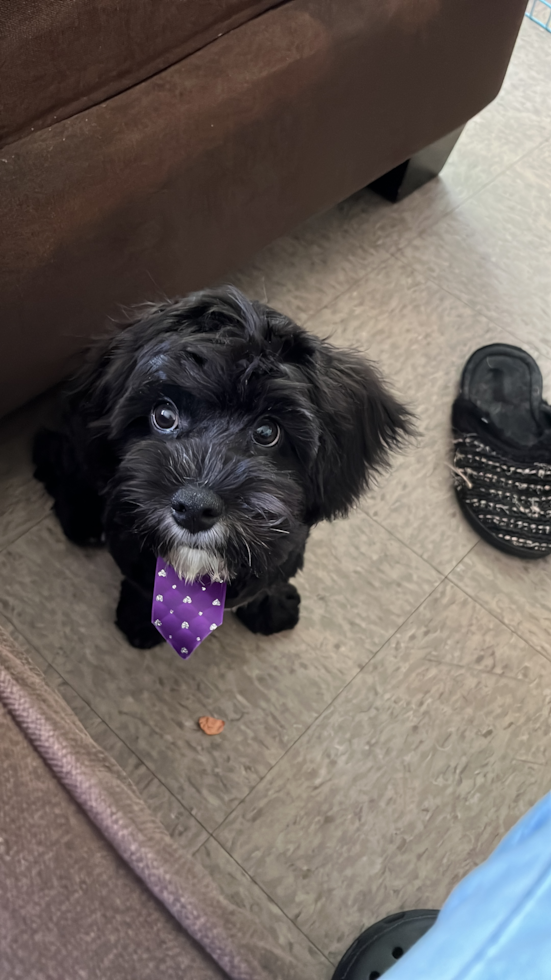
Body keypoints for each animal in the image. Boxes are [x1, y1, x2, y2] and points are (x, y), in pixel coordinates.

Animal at [32, 288, 412, 648]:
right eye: (164, 415)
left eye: (267, 432)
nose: (194, 508)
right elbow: (140, 584)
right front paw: (140, 620)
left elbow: (271, 581)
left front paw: (272, 609)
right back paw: (81, 518)